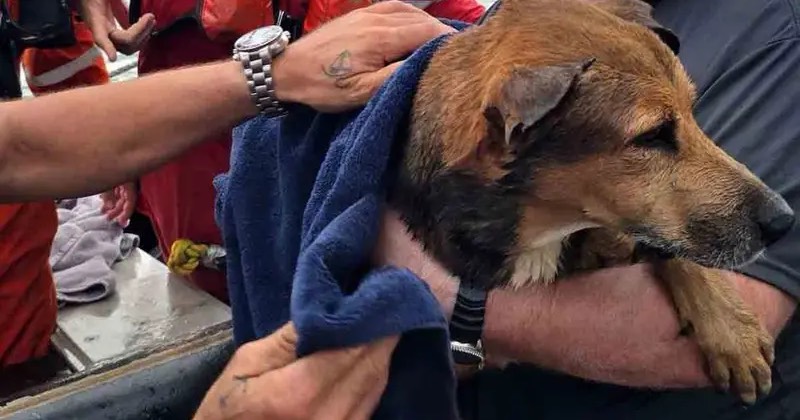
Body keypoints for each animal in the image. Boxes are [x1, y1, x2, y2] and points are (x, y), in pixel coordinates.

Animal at [388, 0, 796, 404]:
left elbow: (671, 249)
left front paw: (732, 328)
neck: (544, 230)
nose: (784, 222)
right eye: (653, 134)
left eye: (692, 112)